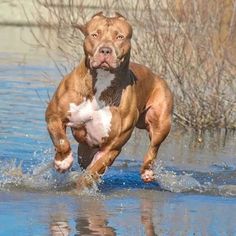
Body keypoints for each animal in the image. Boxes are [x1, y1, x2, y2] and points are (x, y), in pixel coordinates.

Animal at [45, 12, 173, 190]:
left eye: (120, 36)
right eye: (94, 35)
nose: (105, 50)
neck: (101, 82)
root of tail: (156, 77)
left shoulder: (112, 147)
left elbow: (93, 171)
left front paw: (83, 185)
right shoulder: (54, 115)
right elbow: (61, 140)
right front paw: (63, 162)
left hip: (161, 121)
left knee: (153, 147)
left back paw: (147, 172)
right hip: (85, 148)